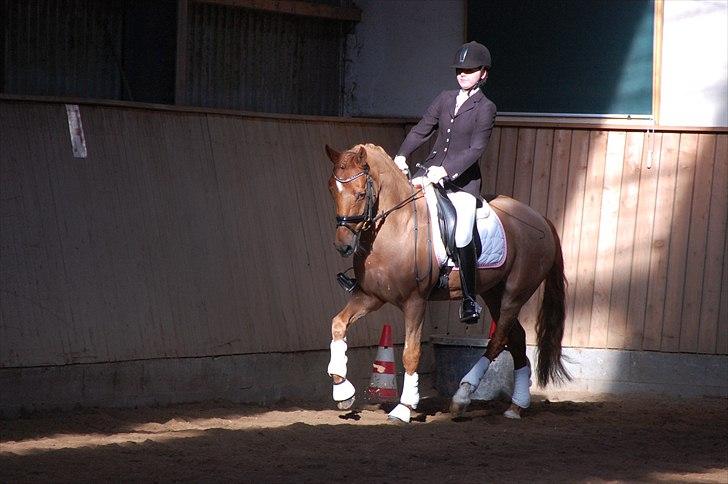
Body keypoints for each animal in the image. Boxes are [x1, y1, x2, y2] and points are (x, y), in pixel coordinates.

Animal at [324, 142, 568, 422]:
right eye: (332, 189)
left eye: (361, 193)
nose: (343, 246)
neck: (397, 228)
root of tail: (540, 218)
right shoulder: (370, 296)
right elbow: (338, 324)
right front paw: (342, 391)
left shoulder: (415, 302)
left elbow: (411, 354)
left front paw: (404, 407)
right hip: (494, 292)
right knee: (516, 336)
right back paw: (516, 407)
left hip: (515, 293)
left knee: (499, 340)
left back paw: (462, 397)